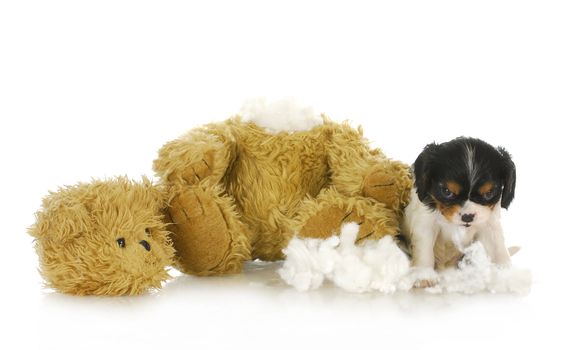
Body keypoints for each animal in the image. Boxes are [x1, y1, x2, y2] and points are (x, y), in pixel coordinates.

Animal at [402, 137, 520, 284]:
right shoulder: (425, 223)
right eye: (447, 192)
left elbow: (498, 248)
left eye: (489, 193)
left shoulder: (489, 223)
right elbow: (424, 249)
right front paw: (423, 276)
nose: (467, 216)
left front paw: (506, 273)